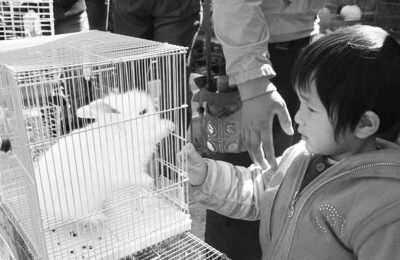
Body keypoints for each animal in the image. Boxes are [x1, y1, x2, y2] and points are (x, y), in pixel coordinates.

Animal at [35, 89, 175, 228]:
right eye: (143, 112)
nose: (157, 112)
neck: (123, 129)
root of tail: (42, 200)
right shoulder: (125, 168)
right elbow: (136, 177)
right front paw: (149, 181)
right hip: (80, 204)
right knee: (83, 216)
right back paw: (100, 218)